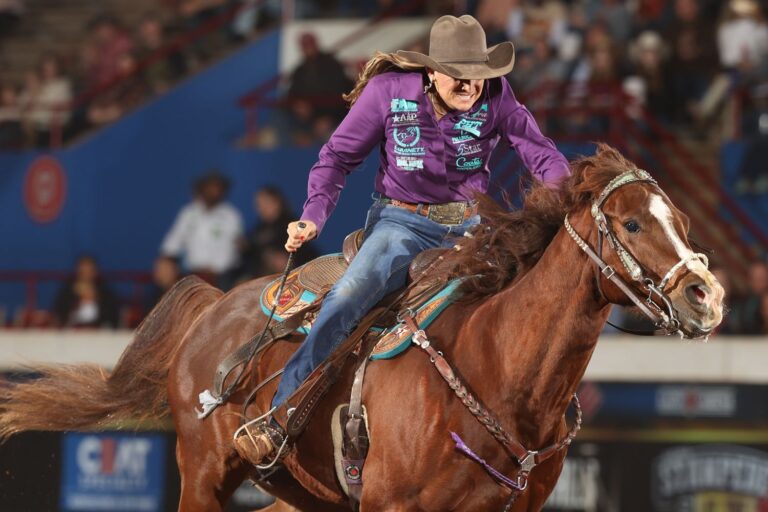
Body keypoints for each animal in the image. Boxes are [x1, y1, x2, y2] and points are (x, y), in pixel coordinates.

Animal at [0, 145, 724, 512]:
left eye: (685, 222)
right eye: (631, 222)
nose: (708, 296)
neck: (499, 368)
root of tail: (214, 307)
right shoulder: (389, 506)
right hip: (204, 472)